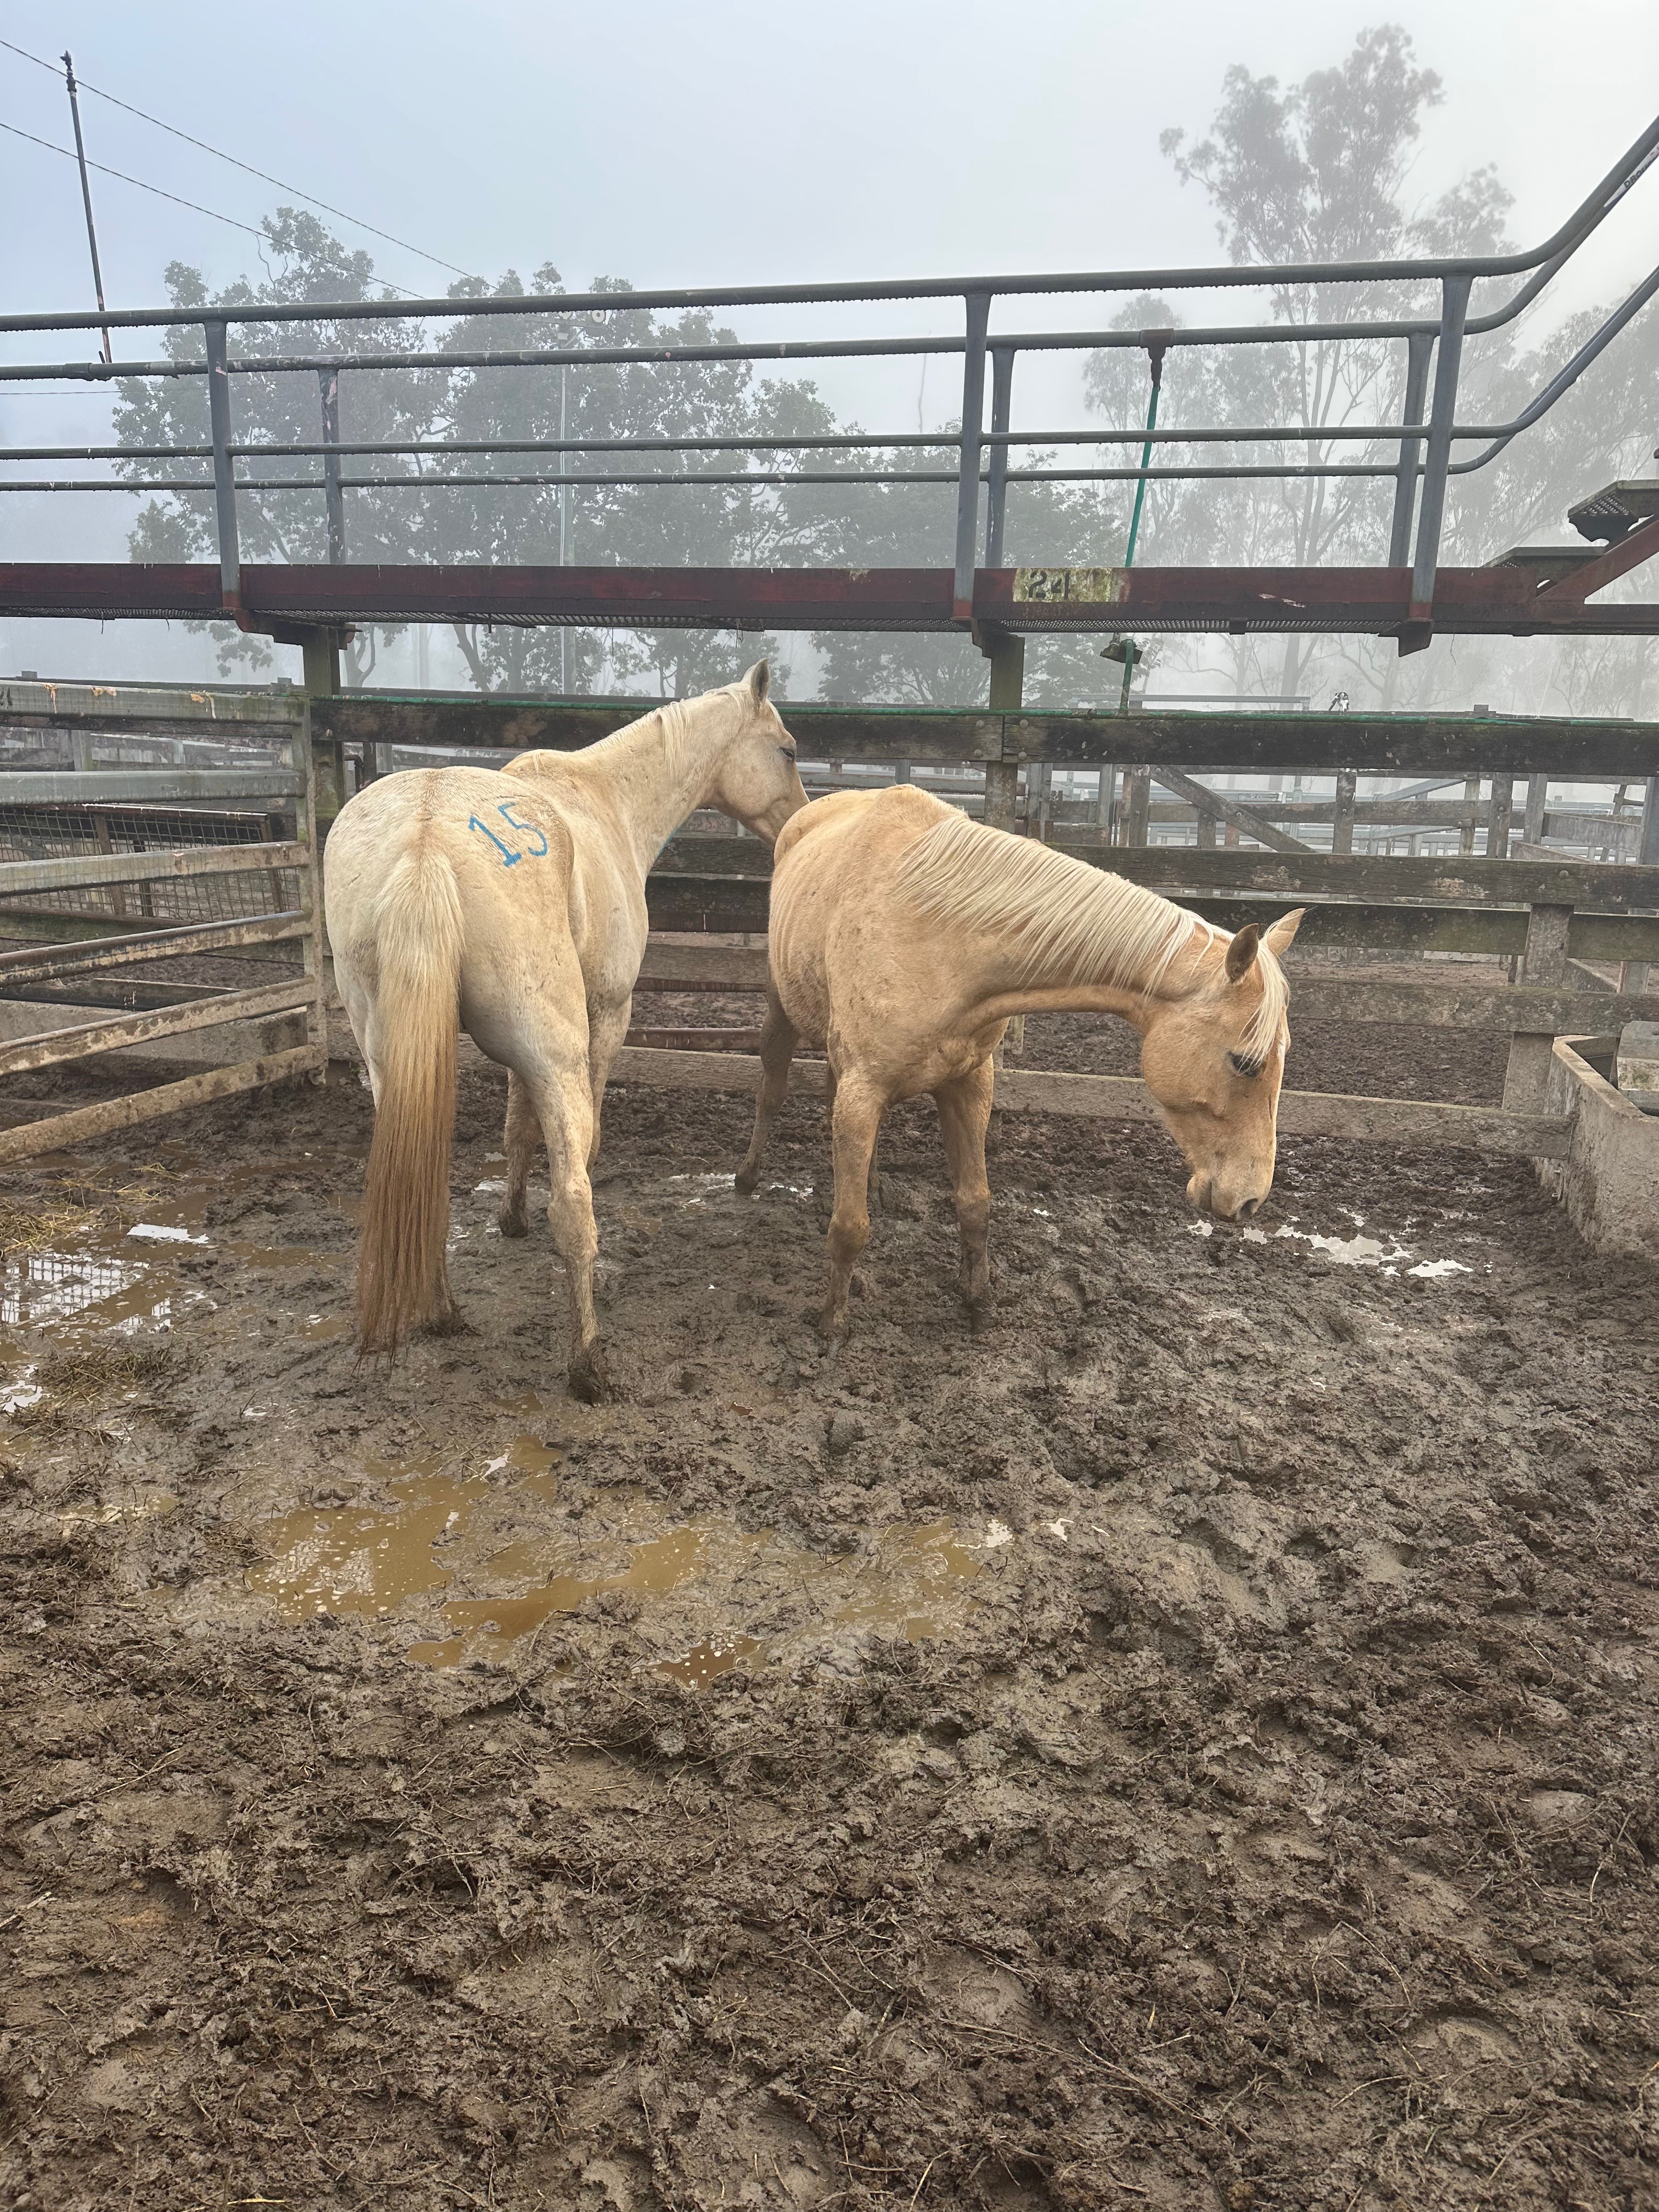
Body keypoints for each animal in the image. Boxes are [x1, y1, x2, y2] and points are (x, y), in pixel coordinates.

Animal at [325, 662, 806, 1399]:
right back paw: (588, 1363)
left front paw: (512, 1217)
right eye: (786, 749)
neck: (608, 800)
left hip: (394, 1060)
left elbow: (516, 1131)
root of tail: (424, 844)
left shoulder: (516, 1059)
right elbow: (580, 1145)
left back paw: (442, 1311)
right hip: (556, 1054)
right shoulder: (604, 1019)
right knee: (575, 1210)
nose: (796, 827)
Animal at [735, 784, 1303, 1337]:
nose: (1250, 1200)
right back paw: (746, 1179)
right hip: (782, 1013)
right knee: (772, 1091)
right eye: (1245, 1063)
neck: (935, 936)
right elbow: (850, 1229)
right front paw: (831, 1323)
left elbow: (975, 1205)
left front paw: (978, 1306)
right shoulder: (864, 1090)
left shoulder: (967, 1084)